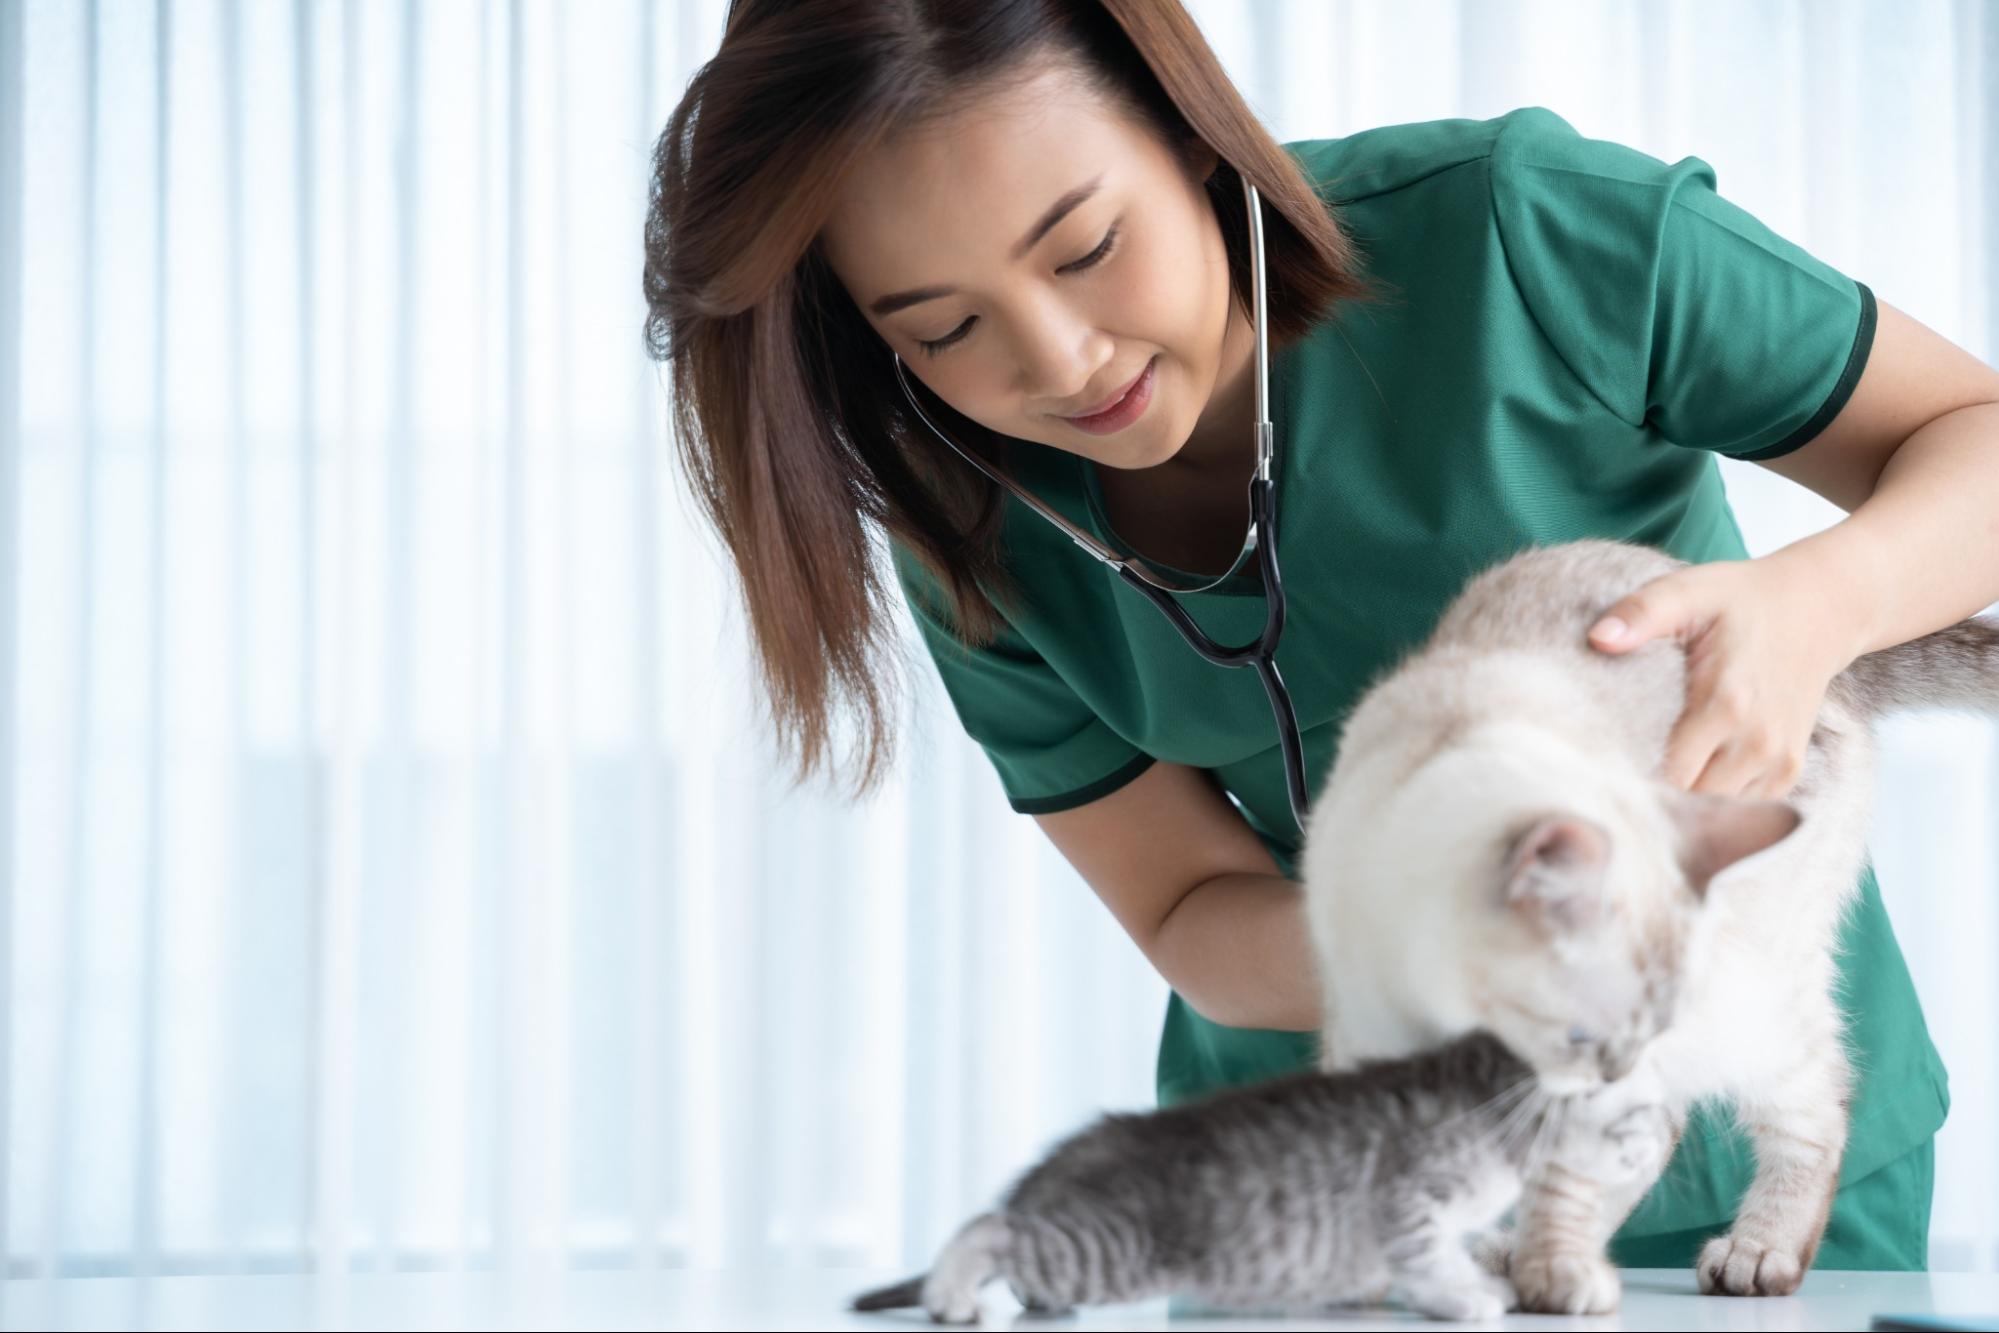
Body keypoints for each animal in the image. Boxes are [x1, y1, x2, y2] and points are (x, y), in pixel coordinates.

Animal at [843, 1031, 1671, 1327]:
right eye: (1638, 1117)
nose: (1654, 1148)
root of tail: (1066, 1155)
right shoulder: (1405, 1192)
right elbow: (1426, 1256)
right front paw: (1464, 1298)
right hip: (1114, 1246)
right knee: (989, 1225)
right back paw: (948, 1294)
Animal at [1303, 535, 1991, 1319]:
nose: (1616, 1066)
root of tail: (1837, 664)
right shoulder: (1368, 1039)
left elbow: (1567, 1176)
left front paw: (1551, 1273)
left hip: (1757, 990)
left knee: (1814, 1107)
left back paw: (1755, 1254)